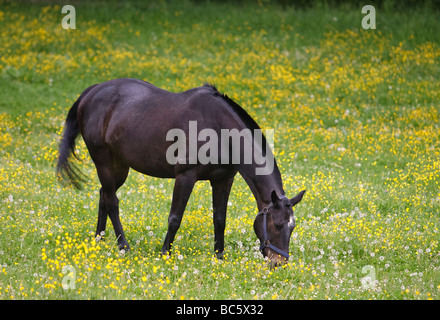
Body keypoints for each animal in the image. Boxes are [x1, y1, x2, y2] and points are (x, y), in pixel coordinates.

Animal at [57, 79, 306, 266]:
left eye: (292, 226)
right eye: (277, 224)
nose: (279, 263)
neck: (218, 130)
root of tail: (92, 92)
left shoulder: (223, 179)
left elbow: (220, 219)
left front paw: (219, 256)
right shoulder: (186, 177)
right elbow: (175, 218)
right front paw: (165, 253)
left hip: (119, 167)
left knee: (103, 196)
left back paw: (98, 240)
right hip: (104, 162)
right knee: (112, 202)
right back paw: (123, 246)